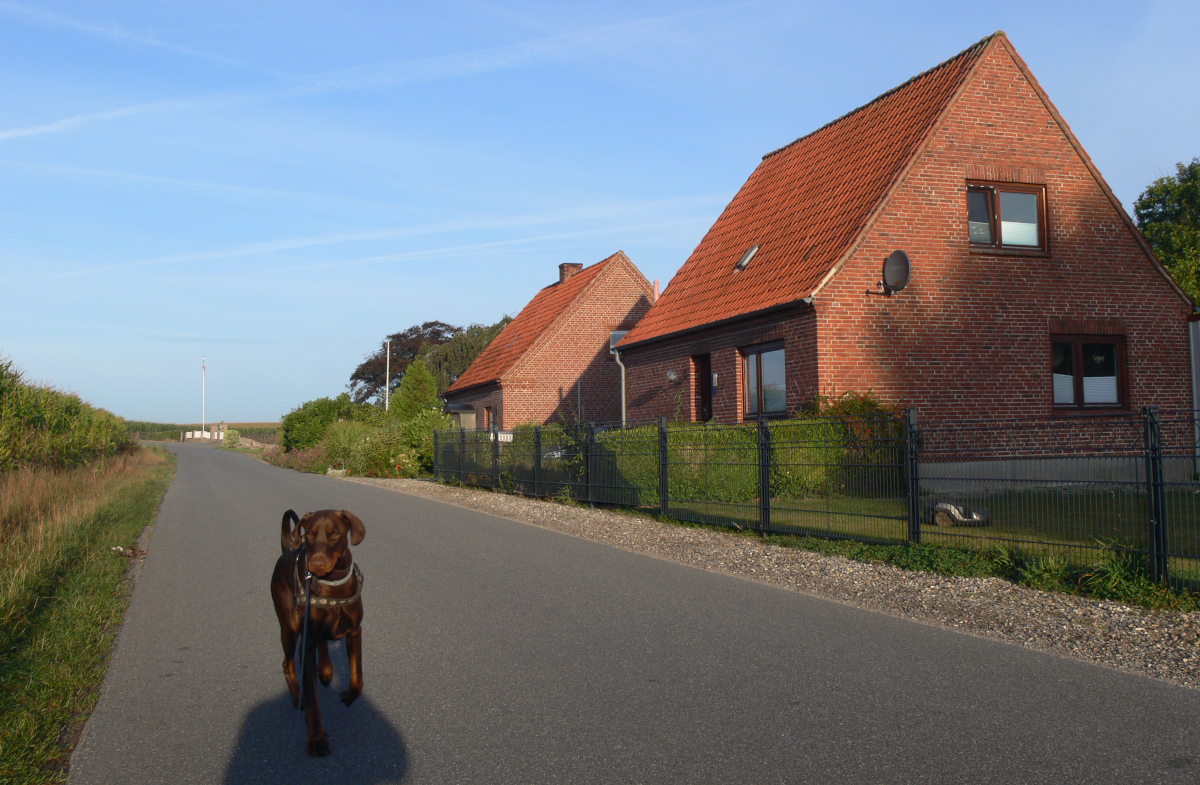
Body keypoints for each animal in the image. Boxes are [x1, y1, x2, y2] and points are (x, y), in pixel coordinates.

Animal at [272, 511, 364, 758]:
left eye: (334, 534)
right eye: (310, 535)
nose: (317, 564)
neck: (333, 584)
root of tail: (286, 550)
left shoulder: (355, 631)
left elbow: (358, 678)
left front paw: (348, 695)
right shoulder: (307, 641)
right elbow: (313, 699)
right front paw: (316, 738)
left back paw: (325, 669)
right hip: (290, 628)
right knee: (287, 663)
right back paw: (297, 695)